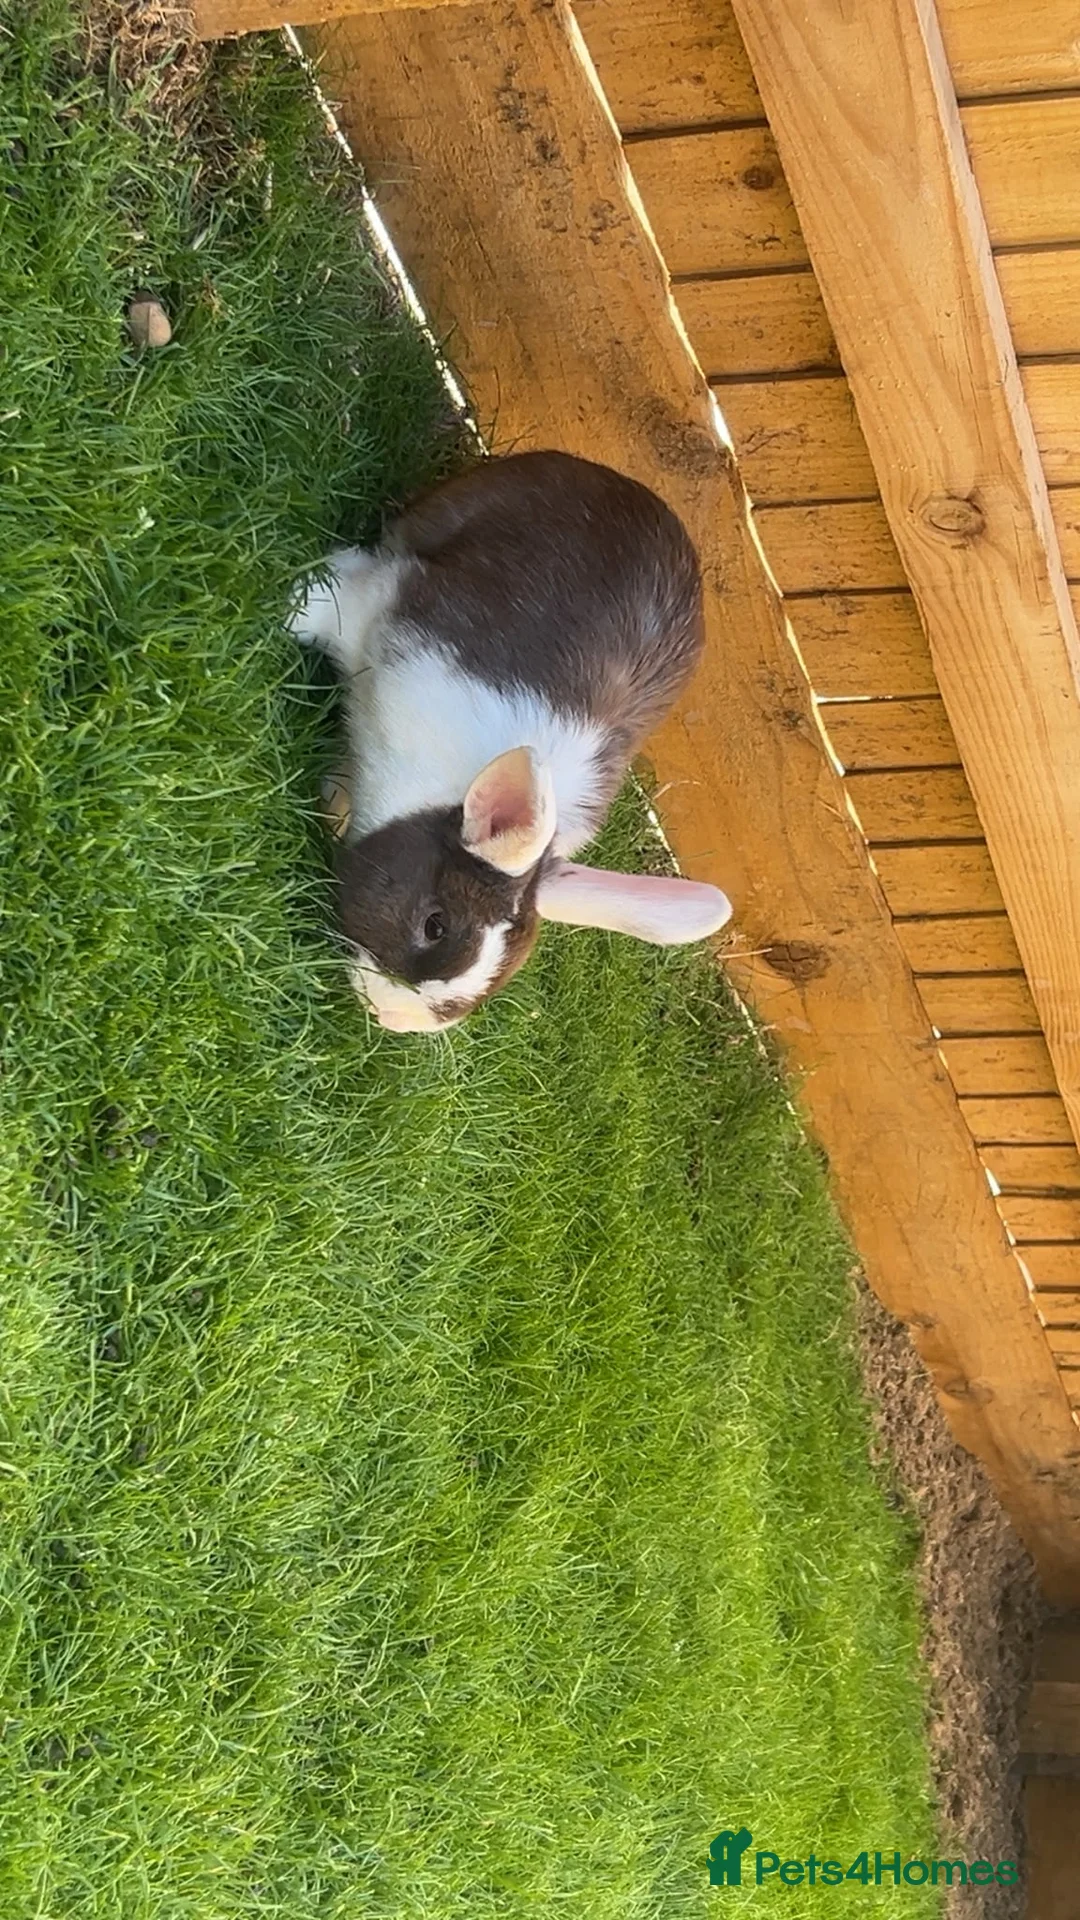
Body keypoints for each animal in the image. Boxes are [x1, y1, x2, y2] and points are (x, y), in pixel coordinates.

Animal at [288, 449, 731, 1033]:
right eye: (435, 925)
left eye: (501, 978)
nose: (394, 1016)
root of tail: (626, 485)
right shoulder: (383, 606)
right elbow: (332, 602)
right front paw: (290, 607)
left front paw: (333, 808)